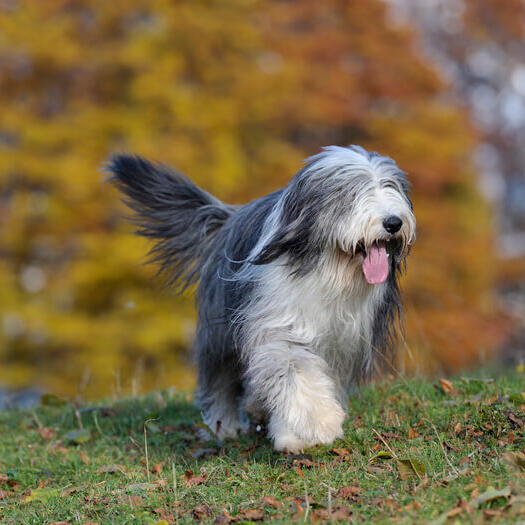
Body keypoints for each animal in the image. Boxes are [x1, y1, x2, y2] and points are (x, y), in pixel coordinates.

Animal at [108, 145, 416, 452]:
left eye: (391, 186)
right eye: (351, 193)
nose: (393, 222)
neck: (329, 272)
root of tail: (229, 216)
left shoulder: (344, 342)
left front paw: (293, 434)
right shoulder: (278, 322)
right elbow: (294, 370)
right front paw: (321, 422)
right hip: (220, 329)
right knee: (219, 376)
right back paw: (223, 425)